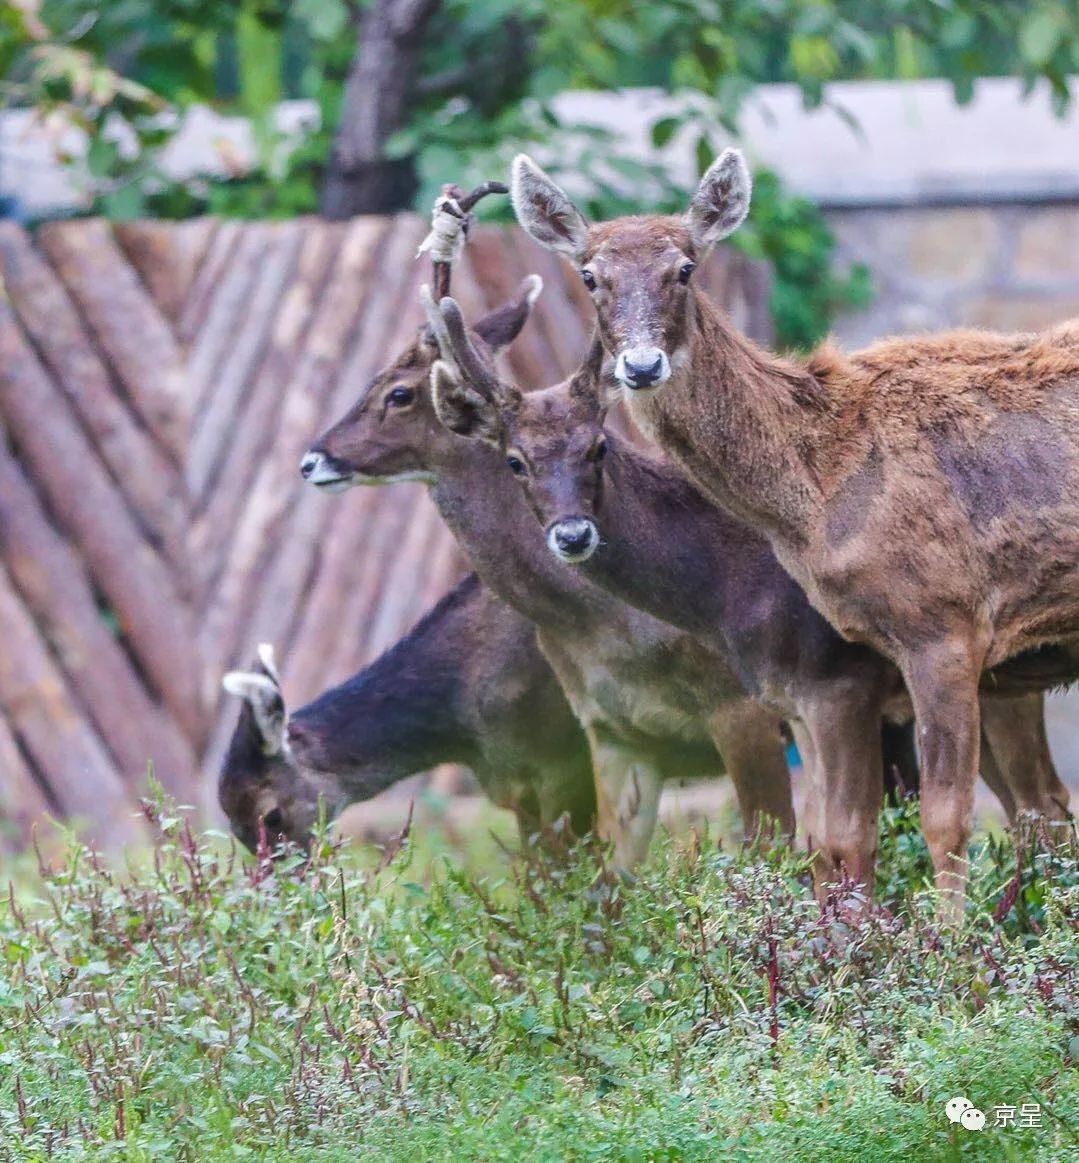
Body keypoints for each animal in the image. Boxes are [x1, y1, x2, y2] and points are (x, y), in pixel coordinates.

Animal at [418, 302, 1069, 888]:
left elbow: (809, 843)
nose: (573, 535)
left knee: (1038, 806)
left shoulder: (821, 688)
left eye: (597, 446)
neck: (723, 590)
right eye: (515, 461)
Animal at [511, 152, 1079, 916]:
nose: (640, 366)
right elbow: (832, 837)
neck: (814, 492)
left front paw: (948, 940)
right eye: (590, 275)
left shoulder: (942, 624)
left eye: (685, 267)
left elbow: (941, 816)